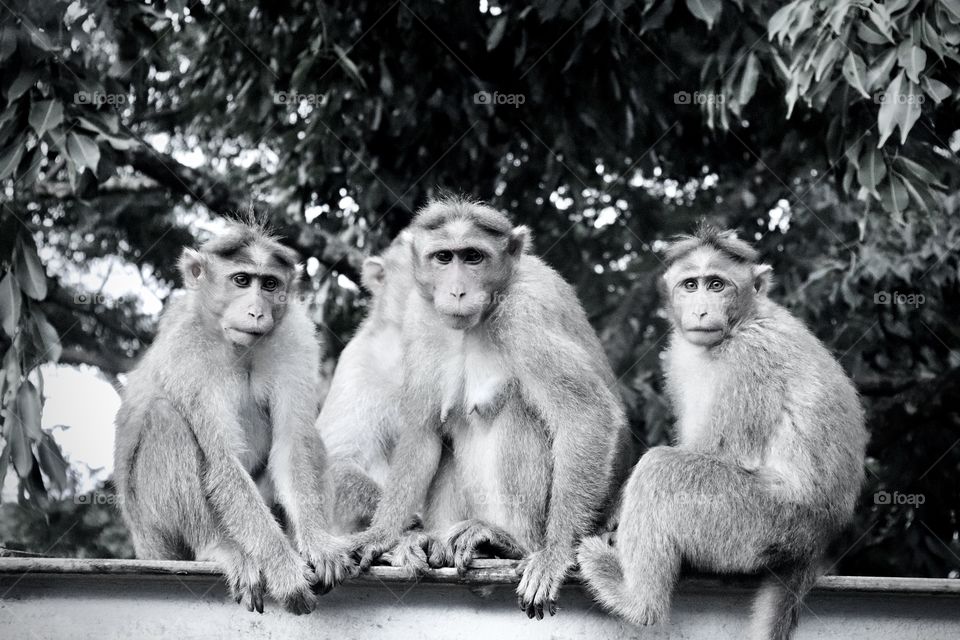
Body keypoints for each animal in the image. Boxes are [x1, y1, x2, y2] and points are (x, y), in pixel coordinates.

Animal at [114, 221, 355, 615]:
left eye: (269, 284)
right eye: (241, 280)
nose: (257, 312)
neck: (236, 345)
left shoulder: (295, 337)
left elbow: (292, 447)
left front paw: (318, 543)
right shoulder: (186, 353)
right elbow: (222, 461)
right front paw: (282, 566)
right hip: (155, 537)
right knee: (165, 419)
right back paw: (217, 548)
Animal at [347, 196, 628, 619]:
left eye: (473, 257)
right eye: (444, 257)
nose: (457, 292)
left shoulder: (525, 314)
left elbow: (586, 413)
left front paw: (556, 554)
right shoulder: (418, 316)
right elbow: (423, 433)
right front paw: (381, 535)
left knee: (517, 410)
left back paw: (507, 542)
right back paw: (430, 541)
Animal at [577, 226, 867, 639]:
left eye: (717, 285)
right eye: (691, 285)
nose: (700, 310)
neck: (744, 320)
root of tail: (816, 542)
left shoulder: (748, 358)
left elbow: (718, 452)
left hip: (757, 524)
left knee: (663, 470)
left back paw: (636, 600)